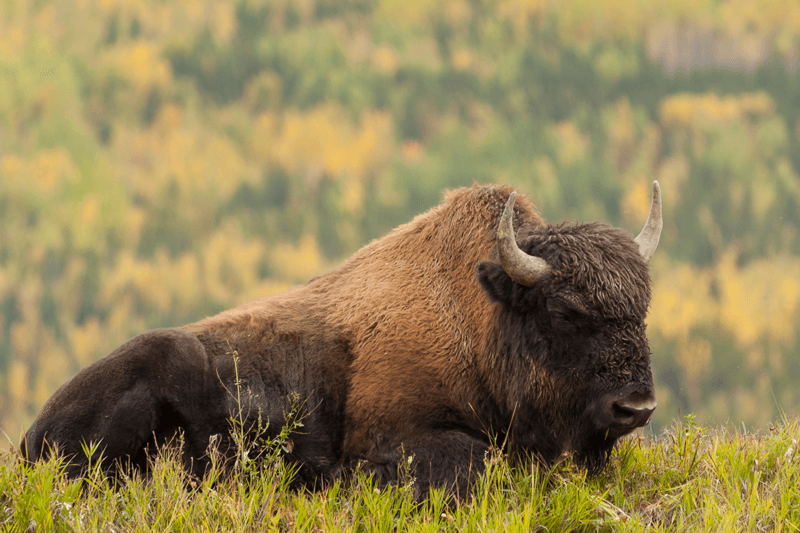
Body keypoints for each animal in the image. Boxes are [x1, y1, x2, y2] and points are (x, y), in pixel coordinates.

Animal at [20, 183, 664, 498]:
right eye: (565, 311)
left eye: (642, 310)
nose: (636, 407)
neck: (477, 316)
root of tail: (33, 434)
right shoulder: (397, 432)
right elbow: (477, 463)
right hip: (163, 359)